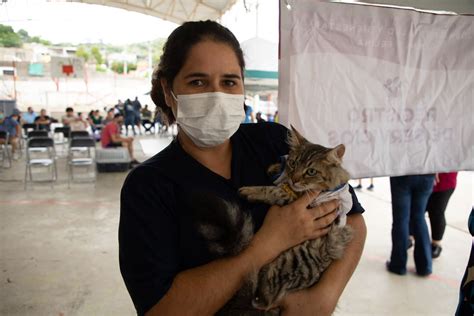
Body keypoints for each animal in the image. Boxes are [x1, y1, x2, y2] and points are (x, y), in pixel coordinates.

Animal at [193, 126, 352, 314]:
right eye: (294, 164)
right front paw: (276, 168)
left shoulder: (301, 201)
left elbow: (272, 191)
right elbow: (281, 173)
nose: (295, 179)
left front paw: (251, 191)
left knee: (262, 295)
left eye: (311, 172)